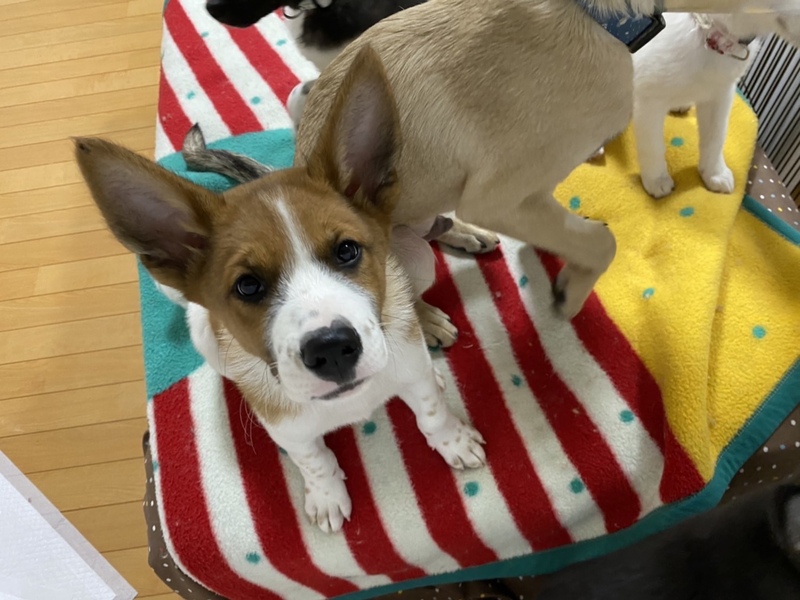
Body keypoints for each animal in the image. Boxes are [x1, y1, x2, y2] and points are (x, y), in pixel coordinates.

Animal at [73, 63, 487, 534]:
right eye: (248, 286)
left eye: (347, 250)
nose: (332, 348)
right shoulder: (289, 430)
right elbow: (312, 459)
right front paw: (326, 495)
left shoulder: (411, 373)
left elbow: (431, 411)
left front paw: (453, 440)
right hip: (203, 334)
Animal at [632, 11, 800, 198]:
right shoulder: (648, 99)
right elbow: (652, 146)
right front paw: (657, 179)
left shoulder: (721, 93)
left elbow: (716, 137)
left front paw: (714, 173)